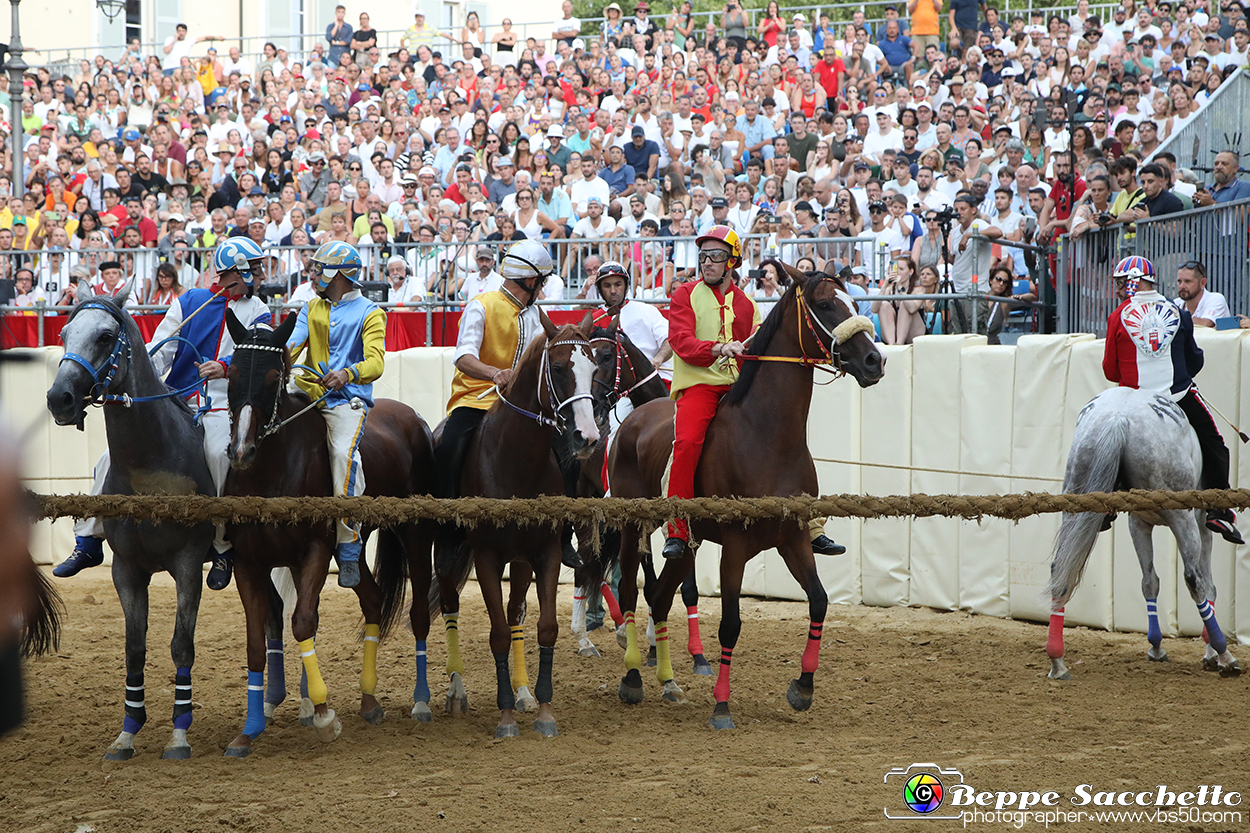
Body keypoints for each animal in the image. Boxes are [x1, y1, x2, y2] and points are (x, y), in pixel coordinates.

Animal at [45, 291, 217, 760]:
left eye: (106, 336)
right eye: (64, 333)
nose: (59, 398)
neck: (150, 465)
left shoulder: (188, 565)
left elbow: (180, 644)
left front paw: (179, 732)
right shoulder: (126, 570)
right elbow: (134, 647)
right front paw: (127, 731)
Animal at [222, 311, 437, 750]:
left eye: (274, 375)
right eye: (231, 372)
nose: (241, 451)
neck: (271, 474)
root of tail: (414, 418)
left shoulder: (315, 552)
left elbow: (303, 621)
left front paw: (323, 714)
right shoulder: (249, 564)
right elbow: (255, 642)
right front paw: (248, 732)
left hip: (415, 533)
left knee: (420, 612)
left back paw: (421, 702)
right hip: (351, 545)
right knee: (372, 599)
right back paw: (369, 700)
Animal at [435, 316, 600, 735]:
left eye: (594, 369)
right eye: (557, 368)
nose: (588, 437)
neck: (515, 459)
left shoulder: (546, 554)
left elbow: (544, 627)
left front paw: (542, 709)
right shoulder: (487, 558)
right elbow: (495, 634)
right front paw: (505, 714)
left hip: (522, 562)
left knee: (516, 614)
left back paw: (524, 692)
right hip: (447, 557)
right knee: (450, 604)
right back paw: (456, 691)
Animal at [607, 262, 885, 725]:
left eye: (855, 302)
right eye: (826, 304)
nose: (874, 360)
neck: (767, 436)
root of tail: (631, 420)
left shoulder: (793, 539)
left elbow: (819, 602)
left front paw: (802, 688)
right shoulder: (735, 548)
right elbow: (731, 624)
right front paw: (721, 704)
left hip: (690, 543)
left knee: (660, 598)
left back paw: (668, 682)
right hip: (633, 527)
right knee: (631, 592)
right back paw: (632, 678)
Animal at [1045, 385, 1240, 680]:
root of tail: (1118, 416)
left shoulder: (1138, 524)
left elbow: (1150, 581)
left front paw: (1157, 647)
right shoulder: (1201, 526)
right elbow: (1208, 586)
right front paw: (1213, 654)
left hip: (1075, 502)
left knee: (1061, 569)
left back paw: (1057, 661)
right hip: (1183, 518)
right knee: (1193, 580)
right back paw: (1225, 654)